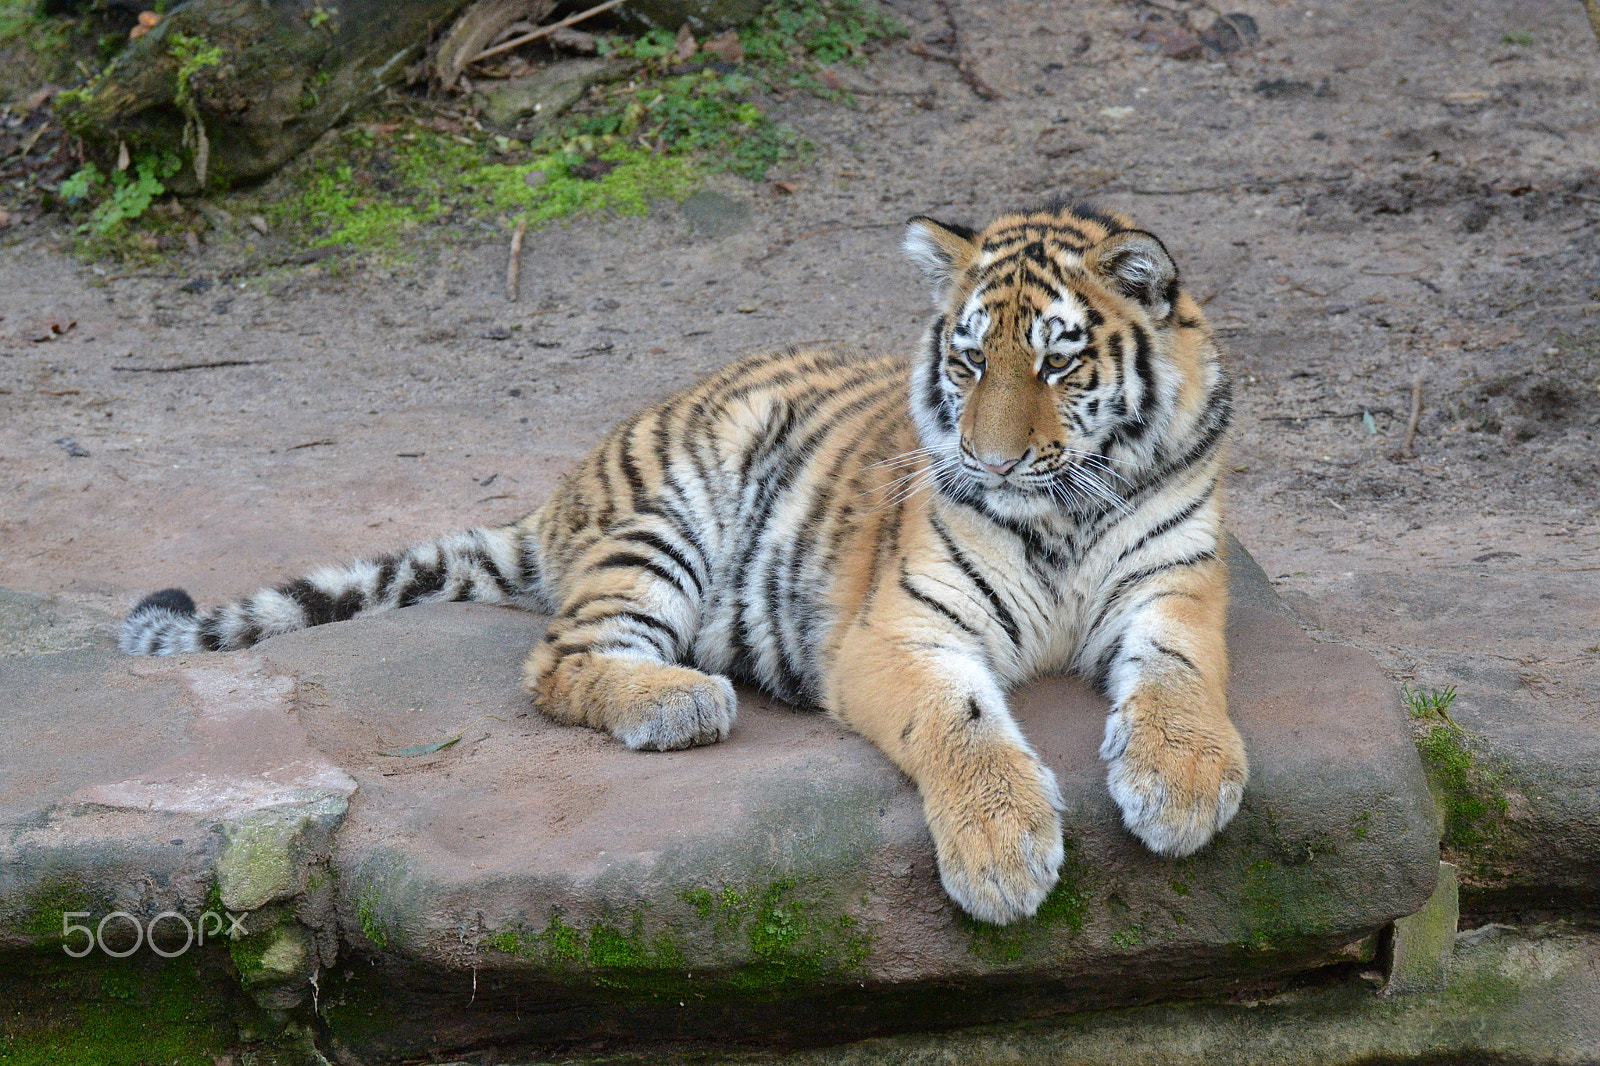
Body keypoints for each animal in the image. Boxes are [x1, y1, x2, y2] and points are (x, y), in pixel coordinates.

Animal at [121, 201, 1246, 926]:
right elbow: (961, 725)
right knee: (559, 659)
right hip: (667, 518)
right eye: (969, 362)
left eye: (1058, 362)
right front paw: (1003, 854)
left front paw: (1184, 786)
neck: (1059, 511)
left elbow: (1185, 682)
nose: (991, 458)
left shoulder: (1176, 587)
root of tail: (562, 491)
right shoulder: (900, 629)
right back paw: (682, 700)